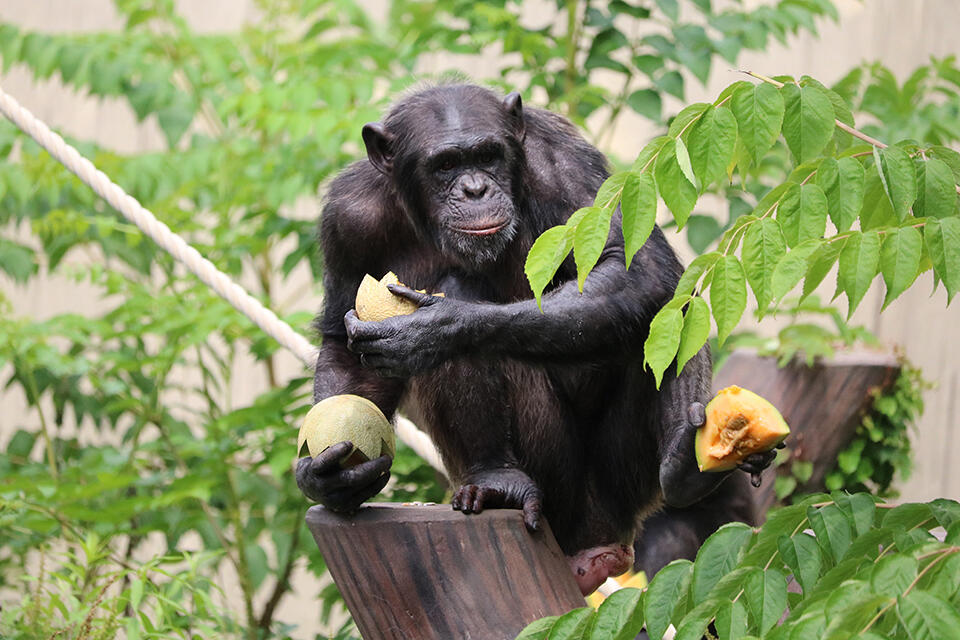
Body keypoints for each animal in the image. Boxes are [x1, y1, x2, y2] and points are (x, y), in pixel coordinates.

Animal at [292, 84, 772, 596]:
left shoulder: (566, 166)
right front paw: (328, 479)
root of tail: (598, 550)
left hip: (607, 490)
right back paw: (494, 478)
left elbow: (637, 268)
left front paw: (439, 329)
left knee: (662, 305)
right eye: (445, 165)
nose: (475, 189)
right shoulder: (347, 217)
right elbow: (342, 343)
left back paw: (684, 465)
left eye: (488, 156)